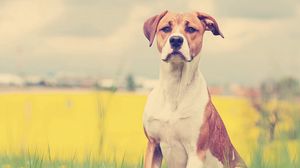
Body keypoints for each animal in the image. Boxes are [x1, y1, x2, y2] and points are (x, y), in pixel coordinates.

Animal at [142, 10, 247, 168]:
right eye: (166, 28)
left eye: (191, 29)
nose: (176, 40)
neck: (175, 86)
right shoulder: (153, 145)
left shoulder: (196, 151)